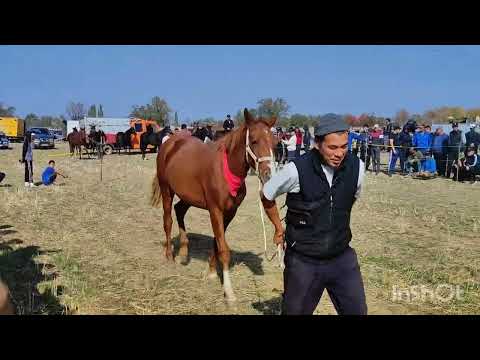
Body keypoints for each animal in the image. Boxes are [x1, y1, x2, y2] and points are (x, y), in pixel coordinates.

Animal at [152, 108, 284, 302]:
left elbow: (217, 242)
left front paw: (212, 271)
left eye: (274, 144)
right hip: (166, 190)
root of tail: (170, 143)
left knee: (179, 210)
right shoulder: (215, 210)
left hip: (188, 196)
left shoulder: (229, 212)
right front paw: (229, 292)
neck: (226, 171)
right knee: (167, 220)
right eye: (253, 140)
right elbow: (224, 248)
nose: (269, 174)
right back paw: (170, 256)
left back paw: (184, 251)